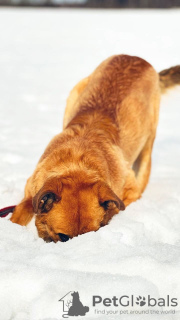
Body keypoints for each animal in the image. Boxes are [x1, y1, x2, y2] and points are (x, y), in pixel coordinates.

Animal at [10, 55, 180, 241]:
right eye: (64, 237)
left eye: (92, 233)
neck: (76, 163)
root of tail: (136, 58)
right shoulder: (32, 188)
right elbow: (20, 212)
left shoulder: (131, 191)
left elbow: (117, 206)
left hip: (147, 147)